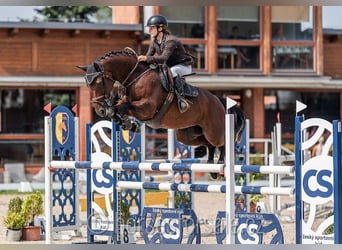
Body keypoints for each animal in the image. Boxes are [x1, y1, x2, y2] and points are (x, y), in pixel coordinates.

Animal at [78, 47, 246, 170]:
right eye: (87, 84)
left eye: (98, 82)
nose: (99, 110)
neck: (136, 77)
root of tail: (219, 100)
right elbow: (117, 109)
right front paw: (128, 124)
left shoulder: (147, 108)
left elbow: (123, 107)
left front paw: (127, 122)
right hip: (188, 134)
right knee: (209, 145)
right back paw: (211, 167)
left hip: (214, 131)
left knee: (222, 142)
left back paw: (221, 165)